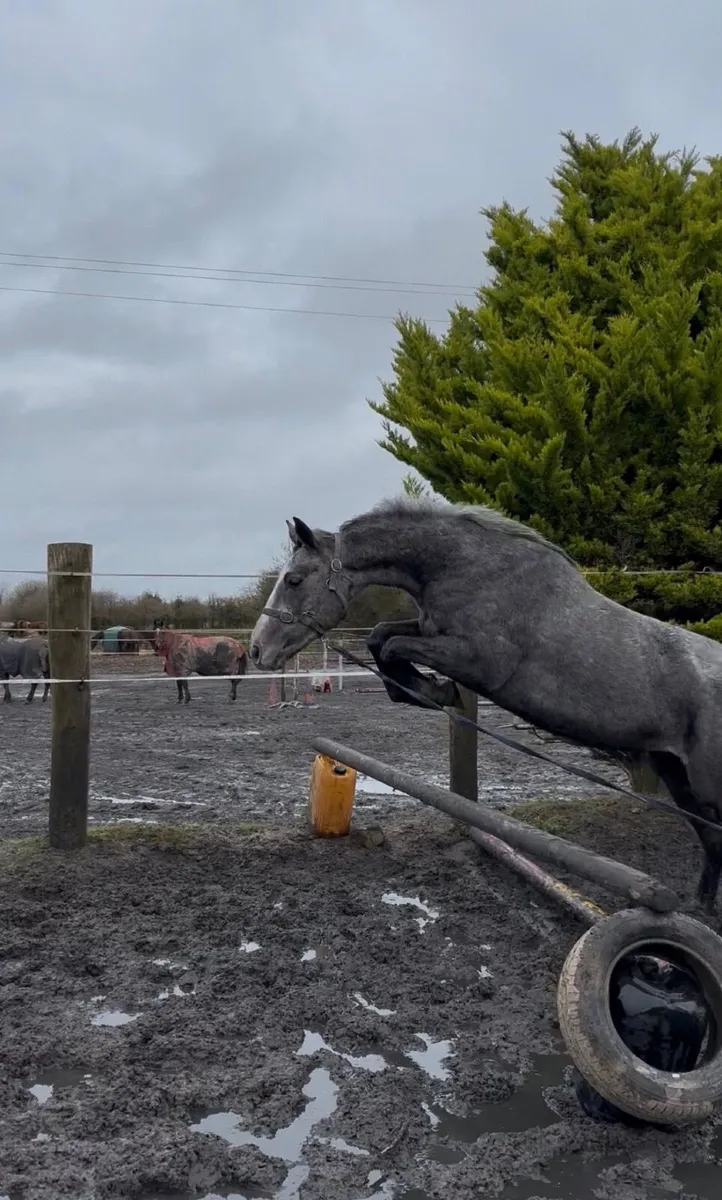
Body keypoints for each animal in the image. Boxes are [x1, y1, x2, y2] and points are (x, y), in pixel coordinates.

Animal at [249, 500, 722, 915]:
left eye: (294, 580)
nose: (258, 651)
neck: (464, 567)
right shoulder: (431, 631)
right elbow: (381, 637)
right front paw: (425, 689)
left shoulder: (478, 660)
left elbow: (393, 644)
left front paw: (435, 691)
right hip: (676, 774)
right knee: (710, 836)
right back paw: (699, 909)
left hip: (704, 782)